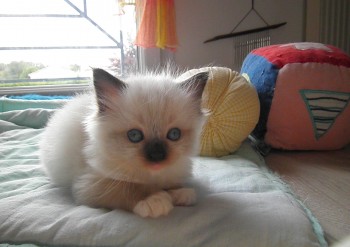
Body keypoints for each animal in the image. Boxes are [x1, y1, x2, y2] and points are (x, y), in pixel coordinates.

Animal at [39, 68, 208, 218]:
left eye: (174, 134)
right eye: (134, 135)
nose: (157, 156)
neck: (151, 176)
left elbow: (171, 182)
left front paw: (180, 192)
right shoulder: (89, 184)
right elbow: (126, 187)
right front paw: (155, 200)